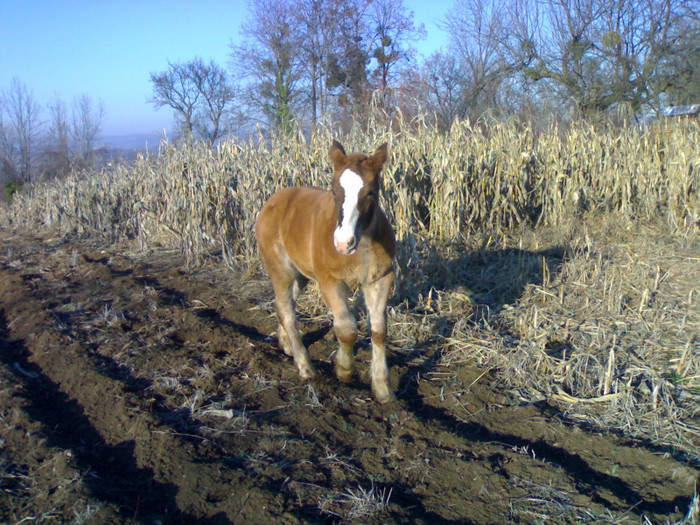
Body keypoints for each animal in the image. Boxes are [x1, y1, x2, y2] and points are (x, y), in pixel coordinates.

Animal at [253, 139, 394, 402]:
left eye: (371, 192)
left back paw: (286, 345)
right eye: (334, 191)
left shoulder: (380, 280)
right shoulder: (329, 281)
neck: (363, 245)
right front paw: (343, 370)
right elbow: (346, 329)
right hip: (281, 270)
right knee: (287, 310)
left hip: (300, 275)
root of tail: (273, 201)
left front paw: (382, 388)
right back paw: (305, 367)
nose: (343, 242)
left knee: (283, 305)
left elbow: (379, 331)